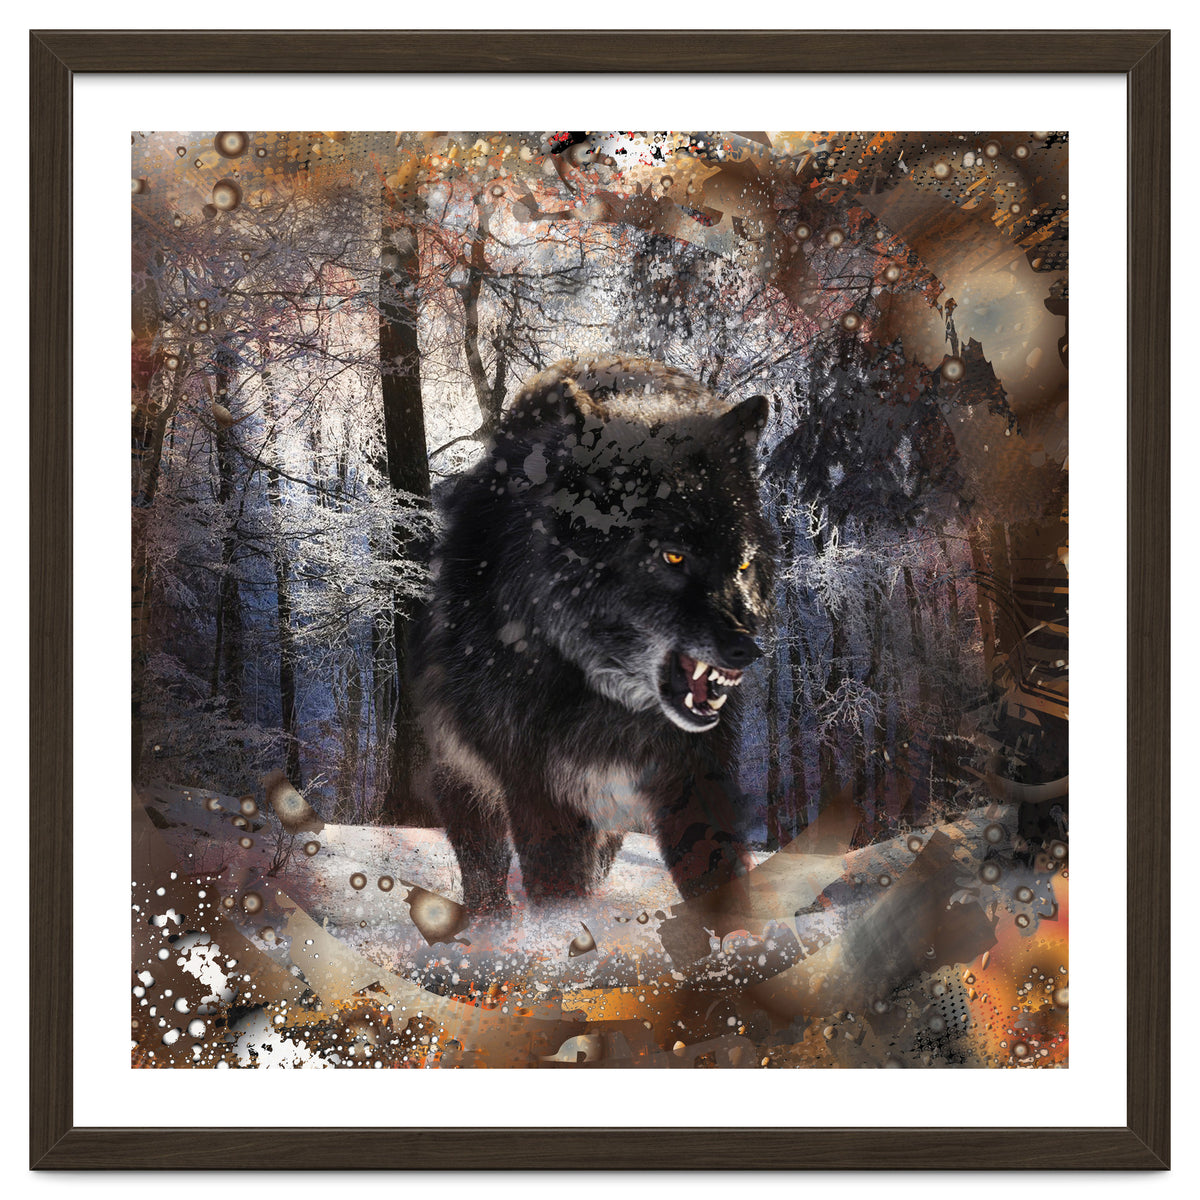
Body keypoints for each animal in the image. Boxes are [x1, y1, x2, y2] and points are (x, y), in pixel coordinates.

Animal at [410, 355, 776, 915]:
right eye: (673, 556)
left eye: (741, 564)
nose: (746, 650)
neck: (613, 702)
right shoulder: (541, 792)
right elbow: (557, 895)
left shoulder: (694, 779)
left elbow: (722, 888)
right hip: (465, 785)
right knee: (485, 877)